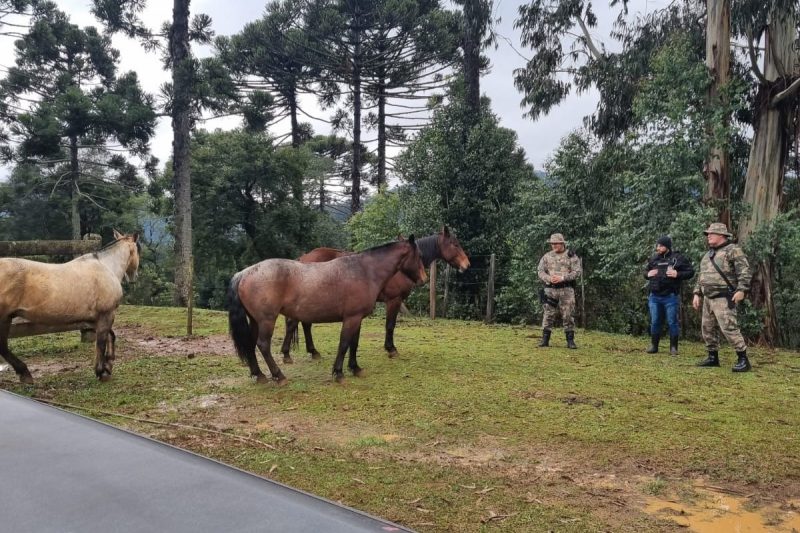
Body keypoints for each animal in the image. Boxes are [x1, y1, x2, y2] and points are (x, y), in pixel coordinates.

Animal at [0, 230, 140, 382]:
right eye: (138, 249)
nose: (134, 277)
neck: (106, 267)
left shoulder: (95, 318)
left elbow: (110, 336)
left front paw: (108, 366)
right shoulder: (106, 314)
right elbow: (101, 343)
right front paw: (101, 371)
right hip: (4, 318)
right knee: (3, 346)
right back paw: (24, 373)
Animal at [227, 237, 424, 382]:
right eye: (418, 256)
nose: (423, 279)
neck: (364, 271)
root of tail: (243, 273)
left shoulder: (357, 318)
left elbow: (353, 343)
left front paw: (355, 368)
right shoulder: (352, 318)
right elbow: (344, 343)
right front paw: (338, 372)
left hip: (255, 320)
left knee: (251, 343)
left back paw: (259, 375)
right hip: (267, 320)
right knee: (263, 345)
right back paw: (278, 375)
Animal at [282, 224, 468, 362]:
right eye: (455, 244)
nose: (467, 264)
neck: (399, 267)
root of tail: (303, 258)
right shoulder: (394, 300)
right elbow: (390, 325)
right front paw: (391, 349)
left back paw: (312, 352)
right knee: (295, 324)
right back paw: (288, 354)